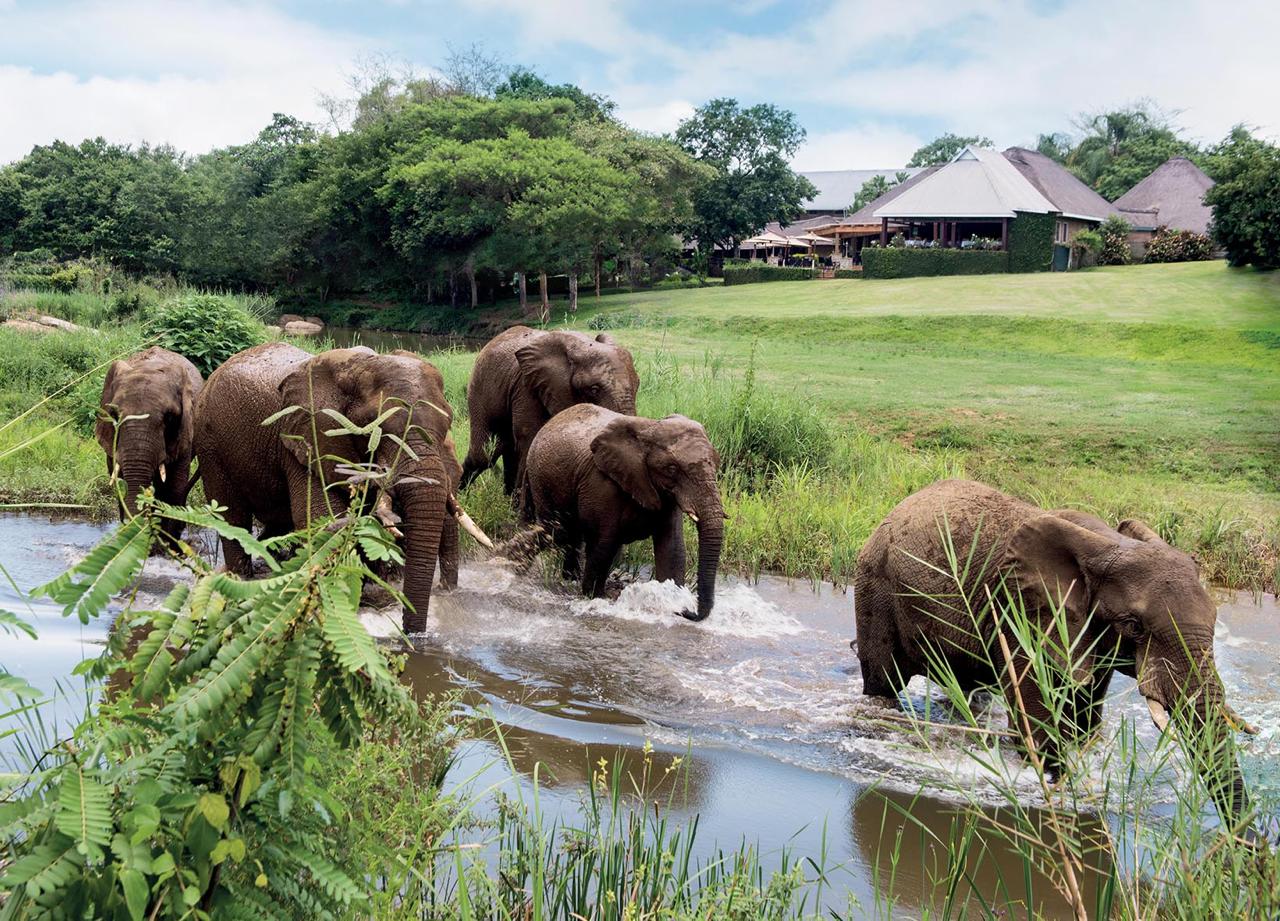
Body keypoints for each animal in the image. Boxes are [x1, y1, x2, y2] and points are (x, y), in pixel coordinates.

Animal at [193, 342, 487, 632]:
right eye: (373, 425)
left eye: (448, 422)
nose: (414, 633)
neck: (358, 366)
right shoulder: (307, 439)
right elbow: (321, 518)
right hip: (210, 445)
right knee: (233, 519)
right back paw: (240, 578)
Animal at [461, 326, 640, 498]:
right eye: (594, 389)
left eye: (637, 385)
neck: (579, 345)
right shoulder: (527, 387)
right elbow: (530, 436)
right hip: (480, 386)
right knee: (485, 454)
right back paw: (463, 495)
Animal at [523, 404, 724, 621]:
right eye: (671, 469)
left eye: (716, 463)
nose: (687, 611)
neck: (651, 428)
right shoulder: (601, 484)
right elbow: (604, 545)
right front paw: (594, 598)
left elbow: (672, 548)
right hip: (541, 479)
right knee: (559, 532)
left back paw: (570, 578)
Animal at [854, 478, 1257, 824]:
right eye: (1134, 625)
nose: (1247, 846)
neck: (1106, 545)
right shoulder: (1018, 613)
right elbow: (1038, 728)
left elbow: (1083, 720)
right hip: (874, 586)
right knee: (883, 683)